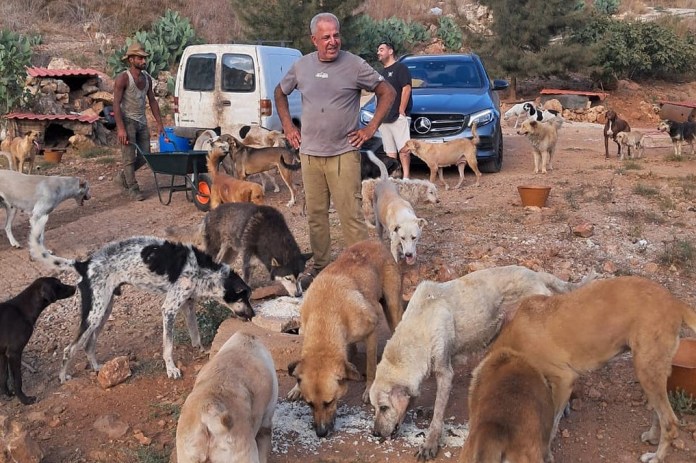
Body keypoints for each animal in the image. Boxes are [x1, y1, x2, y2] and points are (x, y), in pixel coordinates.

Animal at [29, 237, 254, 382]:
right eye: (245, 297)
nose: (253, 314)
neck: (204, 271)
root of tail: (83, 264)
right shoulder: (169, 309)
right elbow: (168, 346)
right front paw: (171, 369)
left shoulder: (187, 304)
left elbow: (195, 333)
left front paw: (201, 349)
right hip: (94, 313)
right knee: (69, 349)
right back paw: (63, 377)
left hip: (104, 310)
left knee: (88, 344)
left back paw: (97, 368)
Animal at [286, 241, 402, 440]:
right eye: (309, 404)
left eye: (329, 402)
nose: (321, 433)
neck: (324, 314)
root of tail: (374, 242)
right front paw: (296, 387)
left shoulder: (371, 331)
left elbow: (371, 365)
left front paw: (368, 388)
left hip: (392, 306)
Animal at [370, 264, 592, 460]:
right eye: (374, 408)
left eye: (384, 408)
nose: (375, 433)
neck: (418, 326)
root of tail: (535, 274)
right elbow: (438, 402)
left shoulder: (444, 370)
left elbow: (439, 411)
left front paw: (431, 442)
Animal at [494, 276, 696, 463]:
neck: (511, 345)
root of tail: (675, 302)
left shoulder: (564, 379)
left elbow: (552, 424)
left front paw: (548, 454)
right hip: (652, 372)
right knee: (659, 413)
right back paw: (652, 437)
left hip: (645, 370)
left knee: (670, 422)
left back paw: (657, 457)